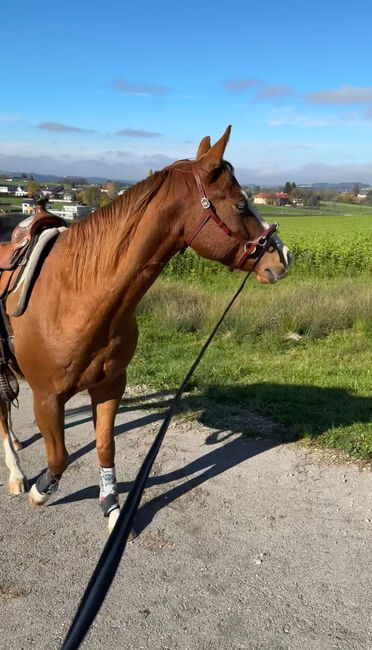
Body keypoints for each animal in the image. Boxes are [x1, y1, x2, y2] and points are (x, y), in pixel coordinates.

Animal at [0, 125, 292, 532]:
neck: (77, 296)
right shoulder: (45, 397)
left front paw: (112, 506)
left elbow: (105, 446)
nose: (283, 257)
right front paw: (40, 490)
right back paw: (15, 472)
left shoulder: (110, 386)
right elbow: (59, 456)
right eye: (239, 204)